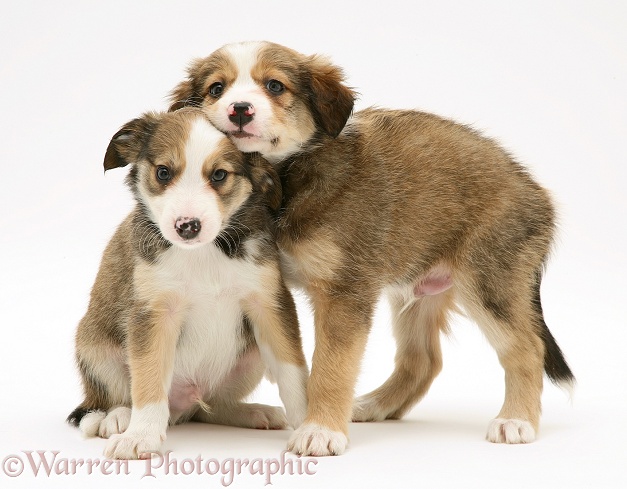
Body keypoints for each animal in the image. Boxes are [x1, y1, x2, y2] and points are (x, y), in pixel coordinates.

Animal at [67, 107, 310, 458]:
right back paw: (117, 418)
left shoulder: (269, 304)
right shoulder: (154, 314)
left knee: (211, 407)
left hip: (250, 358)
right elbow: (149, 380)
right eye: (163, 173)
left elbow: (293, 373)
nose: (187, 226)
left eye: (219, 175)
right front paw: (141, 436)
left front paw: (312, 424)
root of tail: (182, 406)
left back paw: (252, 412)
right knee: (114, 399)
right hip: (94, 347)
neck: (205, 253)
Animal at [169, 41, 576, 454]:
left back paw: (516, 421)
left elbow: (332, 366)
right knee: (423, 361)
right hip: (418, 292)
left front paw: (321, 430)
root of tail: (538, 195)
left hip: (489, 282)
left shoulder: (344, 292)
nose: (239, 109)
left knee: (526, 349)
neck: (287, 177)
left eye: (275, 86)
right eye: (217, 89)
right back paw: (374, 405)